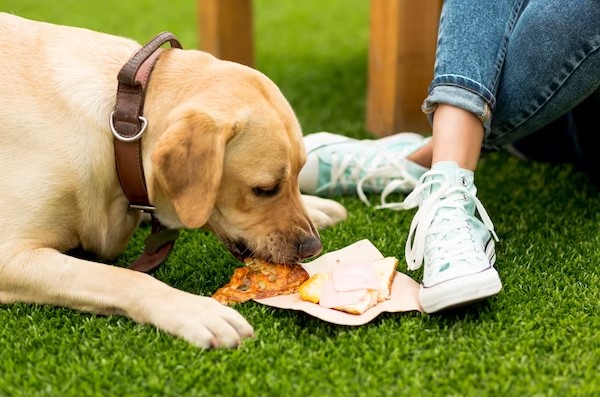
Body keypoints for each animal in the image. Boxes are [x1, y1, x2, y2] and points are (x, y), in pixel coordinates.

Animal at [0, 13, 346, 346]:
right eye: (264, 189)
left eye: (298, 174)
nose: (312, 247)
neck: (120, 127)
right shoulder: (9, 256)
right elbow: (123, 276)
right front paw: (195, 310)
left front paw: (316, 206)